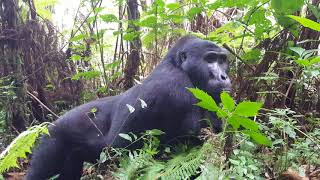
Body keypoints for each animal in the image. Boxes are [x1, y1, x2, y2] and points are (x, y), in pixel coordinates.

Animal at [25, 34, 230, 179]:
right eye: (210, 59)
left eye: (222, 60)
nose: (224, 77)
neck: (175, 64)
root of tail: (46, 128)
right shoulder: (177, 86)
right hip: (51, 141)